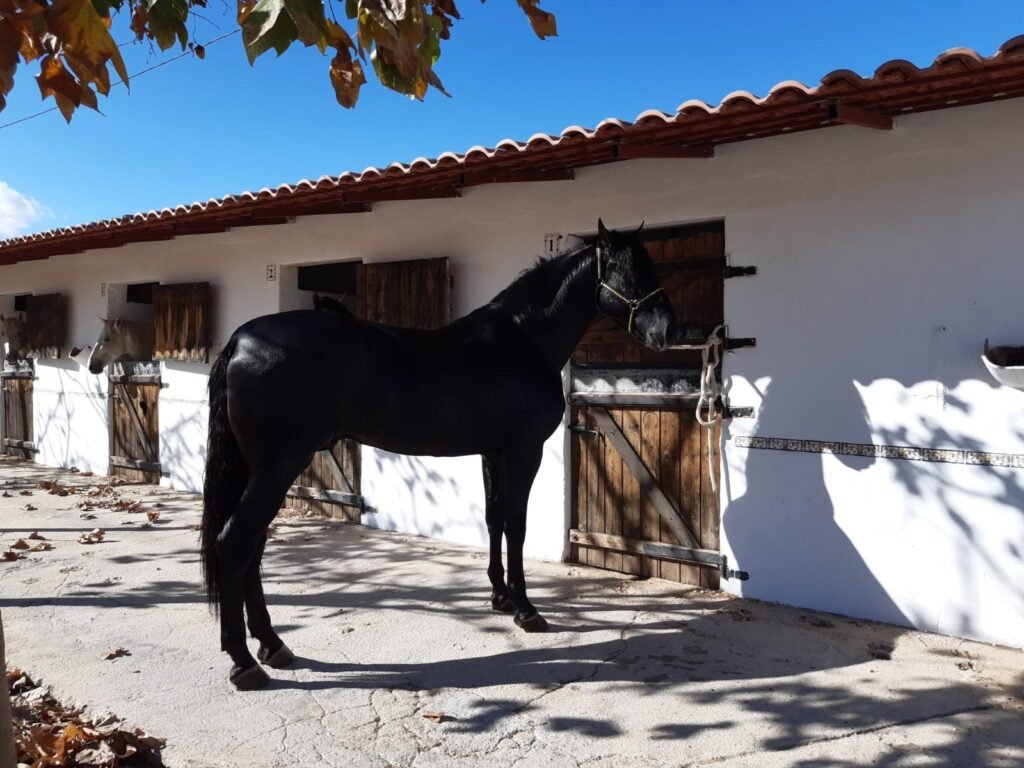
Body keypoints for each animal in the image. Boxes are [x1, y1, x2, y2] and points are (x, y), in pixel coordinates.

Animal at [202, 219, 678, 690]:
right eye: (632, 271)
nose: (670, 331)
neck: (522, 342)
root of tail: (242, 341)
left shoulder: (493, 453)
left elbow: (493, 518)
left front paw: (501, 597)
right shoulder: (524, 451)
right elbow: (516, 525)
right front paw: (527, 611)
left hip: (259, 469)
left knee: (252, 546)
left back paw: (272, 645)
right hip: (277, 467)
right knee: (237, 541)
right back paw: (245, 662)